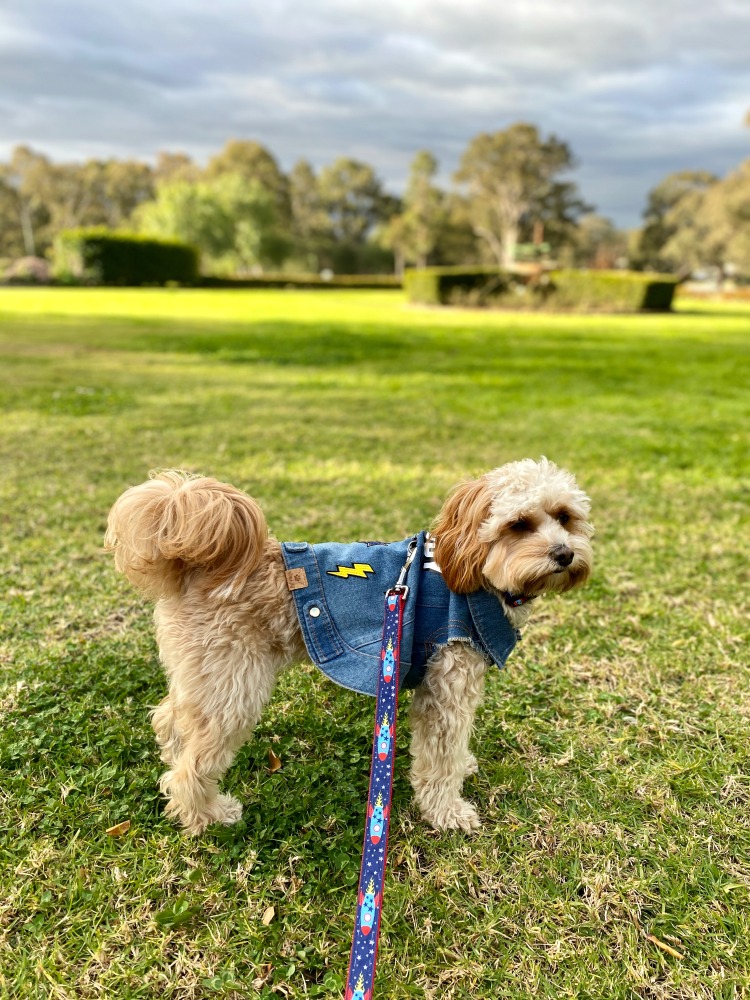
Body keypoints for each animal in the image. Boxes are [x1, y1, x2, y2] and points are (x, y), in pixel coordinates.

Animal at [104, 460, 592, 836]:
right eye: (518, 525)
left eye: (565, 516)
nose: (564, 554)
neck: (469, 574)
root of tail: (194, 564)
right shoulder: (448, 678)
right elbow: (439, 755)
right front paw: (448, 813)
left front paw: (463, 766)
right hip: (233, 684)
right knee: (193, 765)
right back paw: (206, 814)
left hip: (205, 674)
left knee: (170, 719)